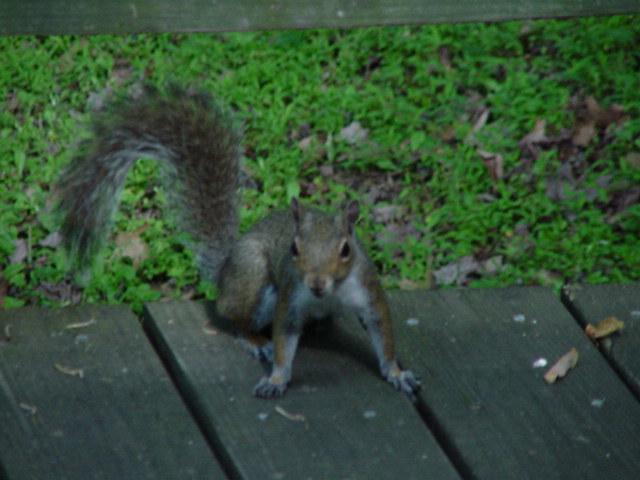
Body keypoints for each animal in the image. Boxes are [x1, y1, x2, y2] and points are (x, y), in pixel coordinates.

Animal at [52, 84, 418, 400]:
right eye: (294, 249)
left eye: (345, 250)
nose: (315, 283)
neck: (331, 293)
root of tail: (224, 272)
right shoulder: (291, 298)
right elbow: (284, 340)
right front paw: (276, 378)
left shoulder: (368, 291)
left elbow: (383, 334)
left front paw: (397, 373)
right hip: (252, 278)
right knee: (236, 318)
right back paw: (256, 339)